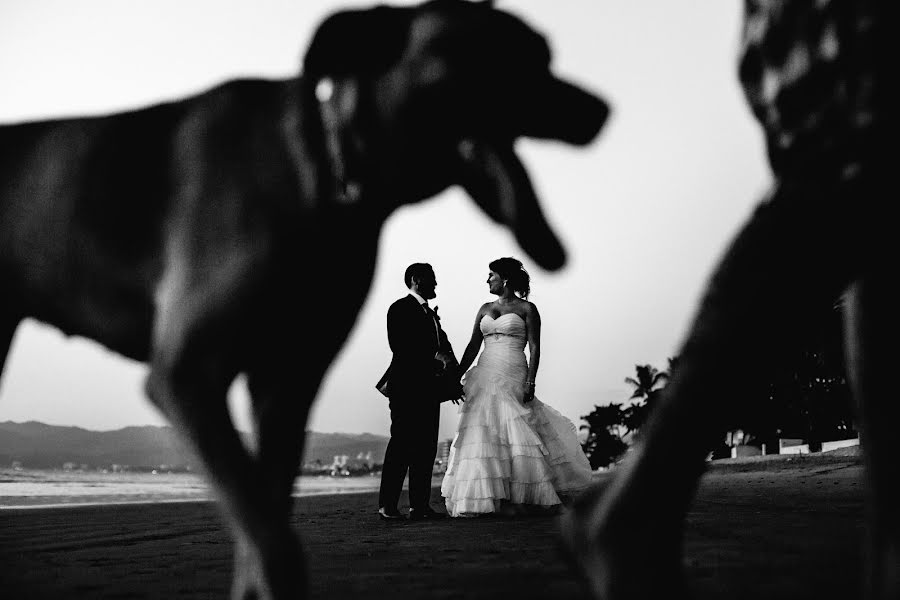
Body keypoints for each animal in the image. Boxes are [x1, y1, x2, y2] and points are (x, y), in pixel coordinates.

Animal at [0, 2, 608, 596]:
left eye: (541, 50)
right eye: (479, 52)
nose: (601, 110)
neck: (320, 156)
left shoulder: (289, 379)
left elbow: (266, 521)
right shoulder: (190, 373)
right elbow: (268, 534)